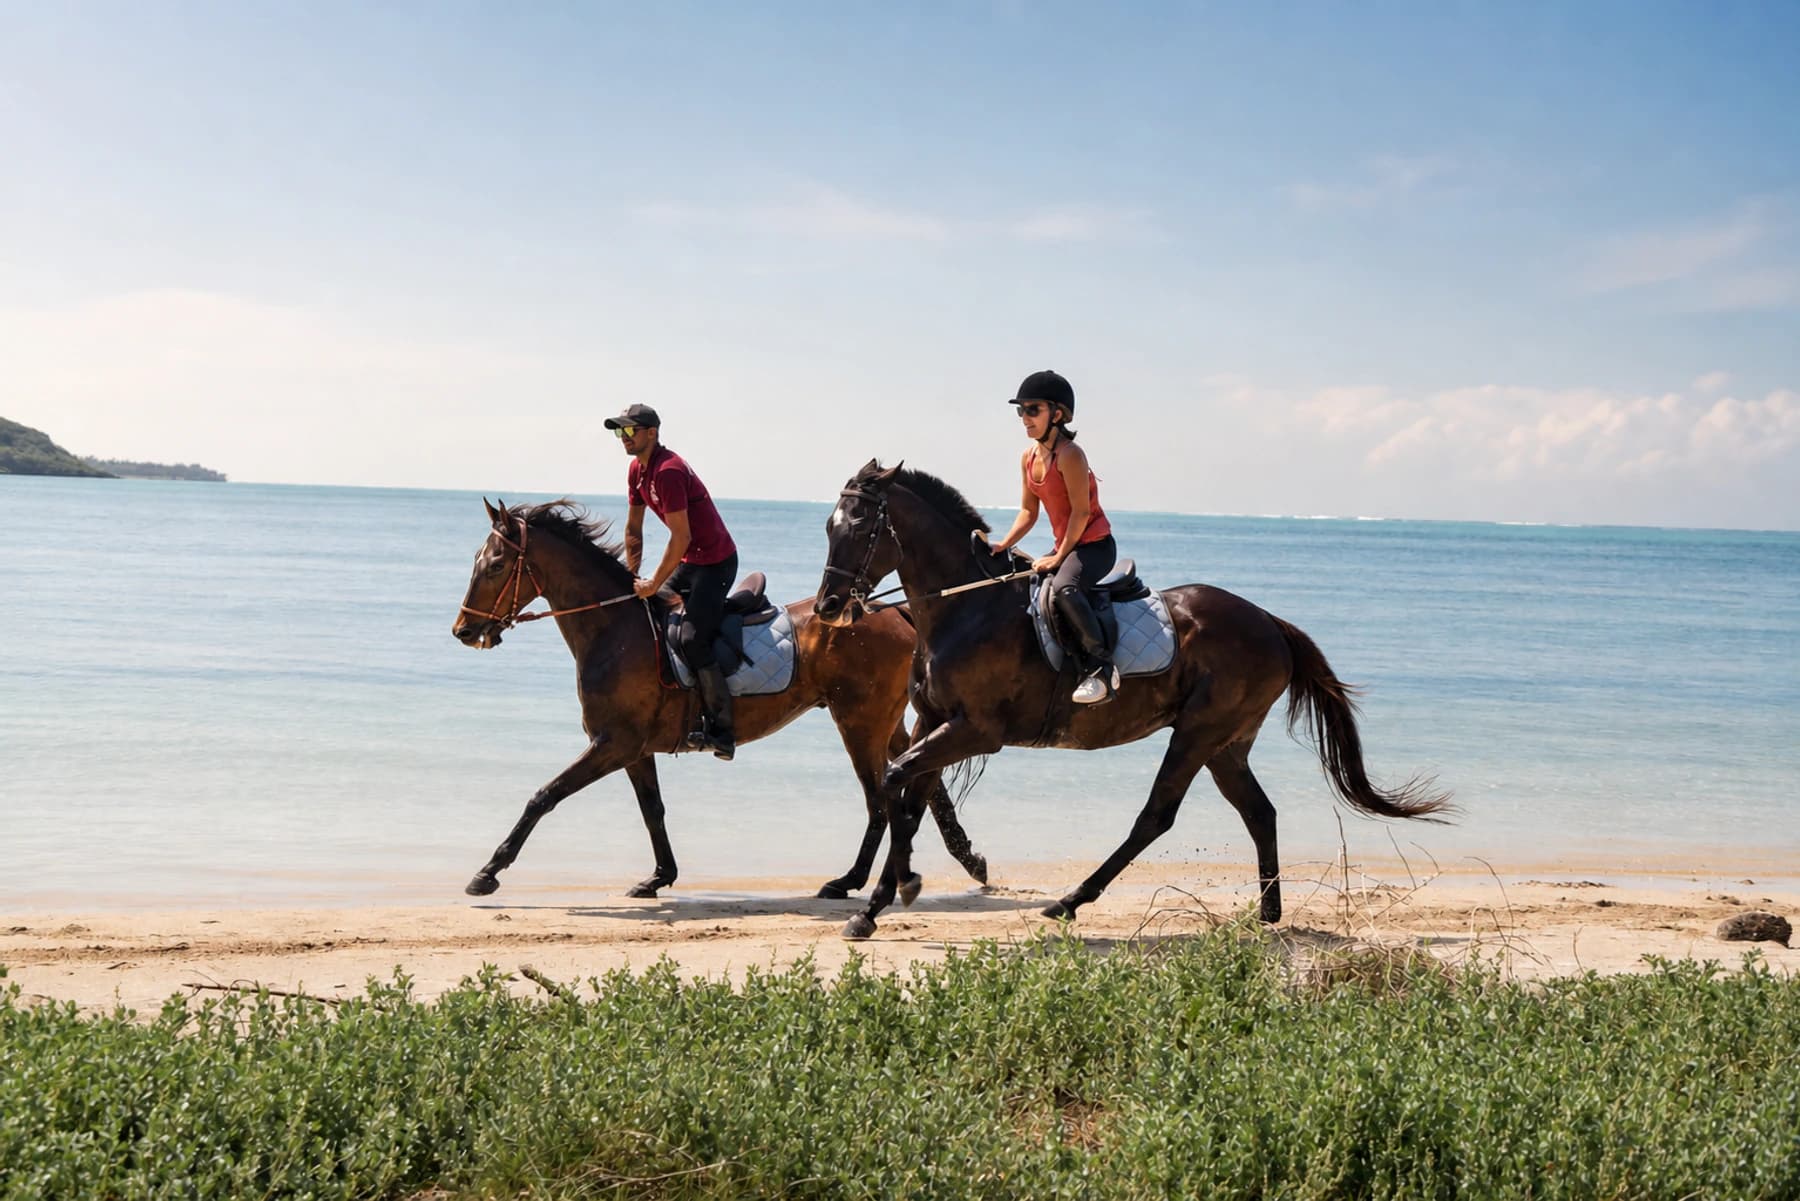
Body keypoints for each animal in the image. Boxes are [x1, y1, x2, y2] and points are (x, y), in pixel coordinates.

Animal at [450, 497, 990, 900]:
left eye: (495, 565)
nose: (464, 631)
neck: (614, 630)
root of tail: (890, 611)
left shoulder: (613, 744)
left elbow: (544, 796)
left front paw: (488, 871)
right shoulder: (634, 749)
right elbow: (653, 810)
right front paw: (658, 877)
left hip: (859, 722)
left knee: (880, 798)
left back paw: (848, 880)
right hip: (883, 721)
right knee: (922, 783)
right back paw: (970, 861)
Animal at [814, 461, 1452, 939]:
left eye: (862, 526)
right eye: (829, 525)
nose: (827, 607)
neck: (964, 609)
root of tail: (1270, 622)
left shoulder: (974, 731)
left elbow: (897, 783)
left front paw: (890, 893)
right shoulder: (933, 722)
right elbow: (912, 797)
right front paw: (884, 898)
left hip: (1198, 732)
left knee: (1156, 816)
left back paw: (1071, 901)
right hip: (1227, 744)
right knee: (1259, 812)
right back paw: (1267, 915)